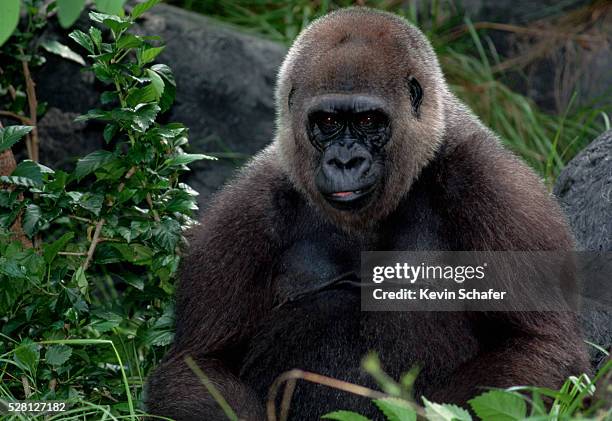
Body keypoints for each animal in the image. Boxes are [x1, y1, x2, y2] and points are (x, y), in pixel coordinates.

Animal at [146, 7, 592, 420]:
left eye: (367, 120)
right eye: (327, 121)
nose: (346, 161)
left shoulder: (495, 185)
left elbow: (538, 344)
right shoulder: (247, 207)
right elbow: (198, 364)